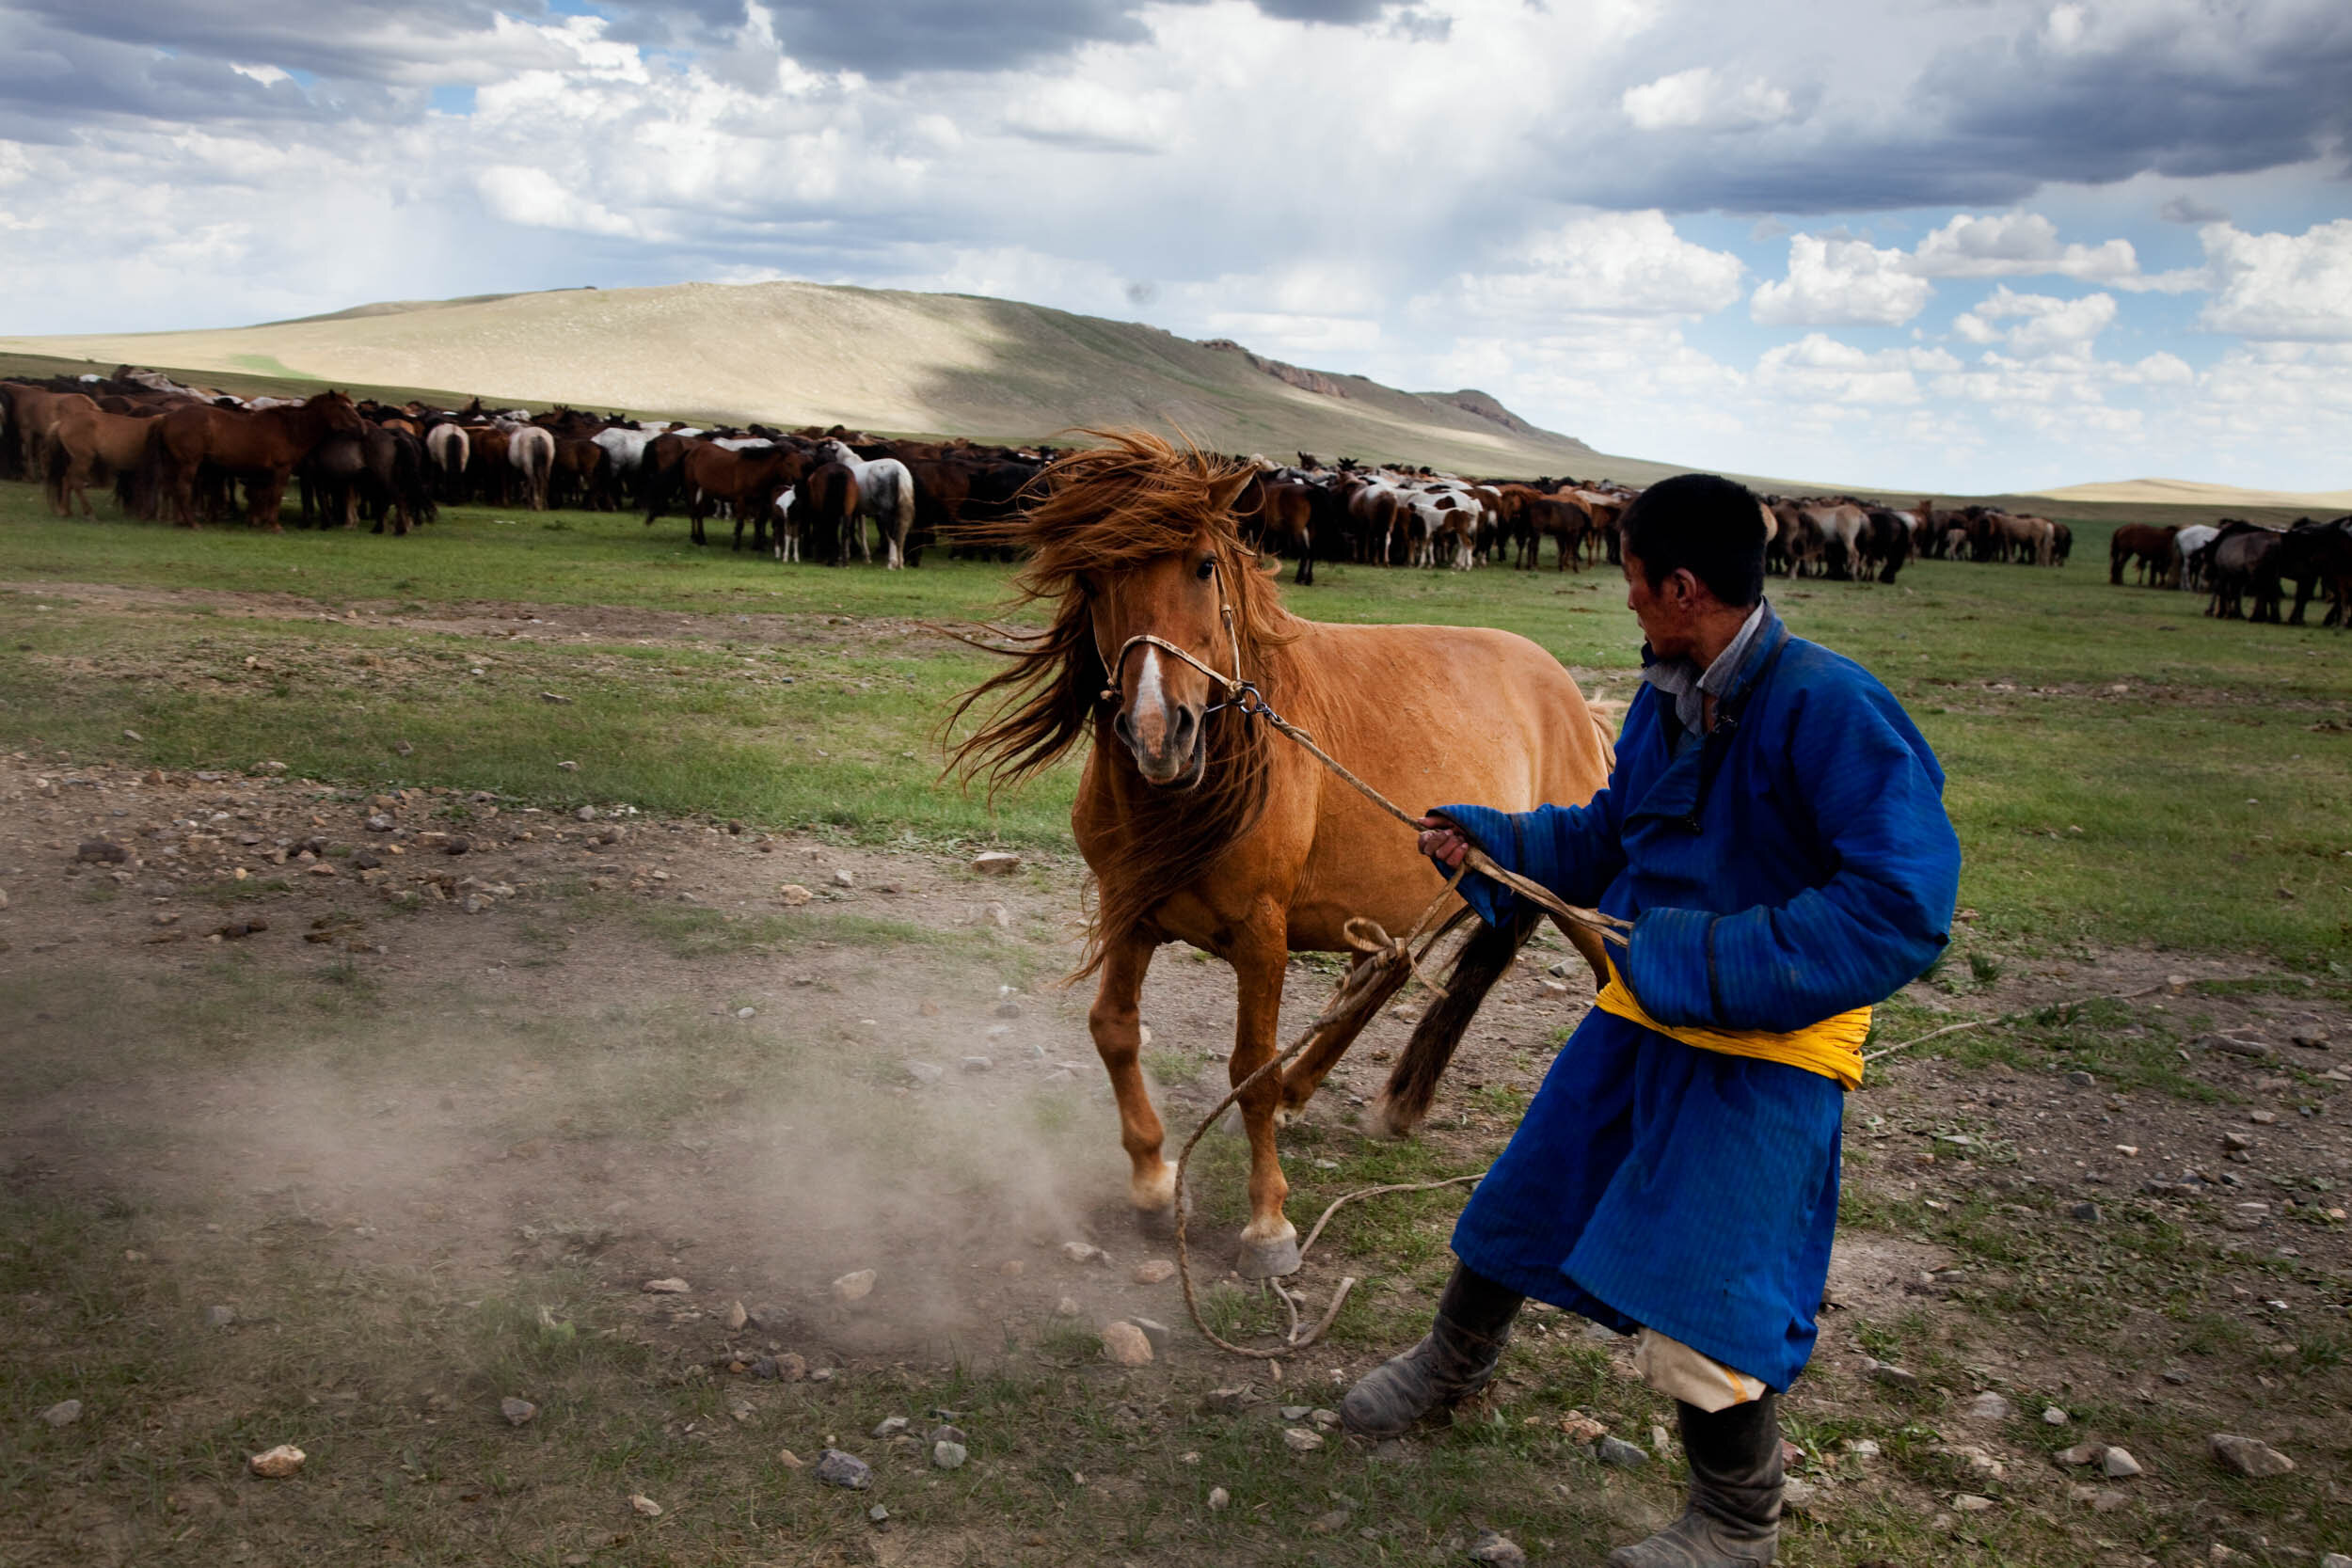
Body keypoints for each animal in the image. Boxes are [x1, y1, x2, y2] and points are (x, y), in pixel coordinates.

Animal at [955, 430, 1618, 1278]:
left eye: (1204, 564)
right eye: (1095, 578)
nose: (1158, 732)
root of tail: (1570, 695)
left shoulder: (1261, 935)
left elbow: (1250, 1070)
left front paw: (1267, 1220)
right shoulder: (1128, 908)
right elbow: (1114, 1028)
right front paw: (1151, 1175)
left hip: (1570, 896)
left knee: (1603, 971)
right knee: (1387, 972)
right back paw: (1335, 1089)